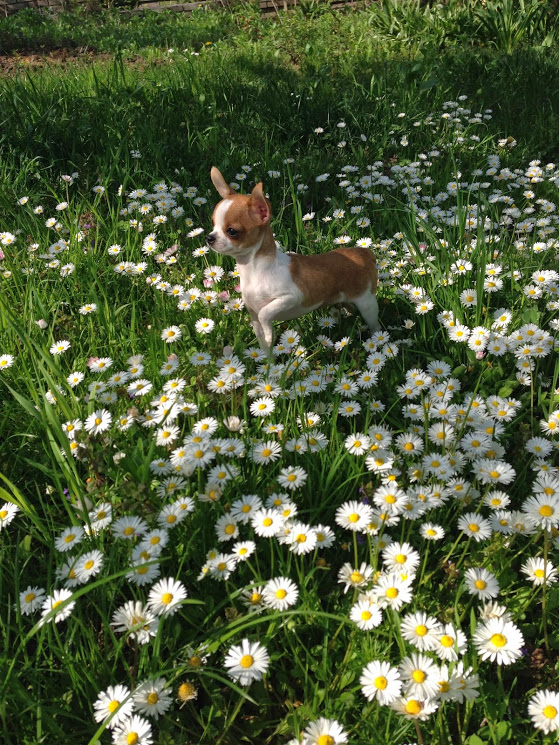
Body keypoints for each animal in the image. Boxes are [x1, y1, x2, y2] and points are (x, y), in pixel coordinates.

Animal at [207, 167, 380, 354]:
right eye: (213, 224)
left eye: (232, 231)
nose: (209, 237)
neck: (254, 270)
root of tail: (363, 252)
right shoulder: (254, 317)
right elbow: (264, 344)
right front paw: (268, 359)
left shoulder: (291, 297)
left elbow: (265, 313)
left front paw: (270, 334)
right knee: (350, 307)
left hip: (367, 303)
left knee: (375, 324)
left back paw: (376, 341)